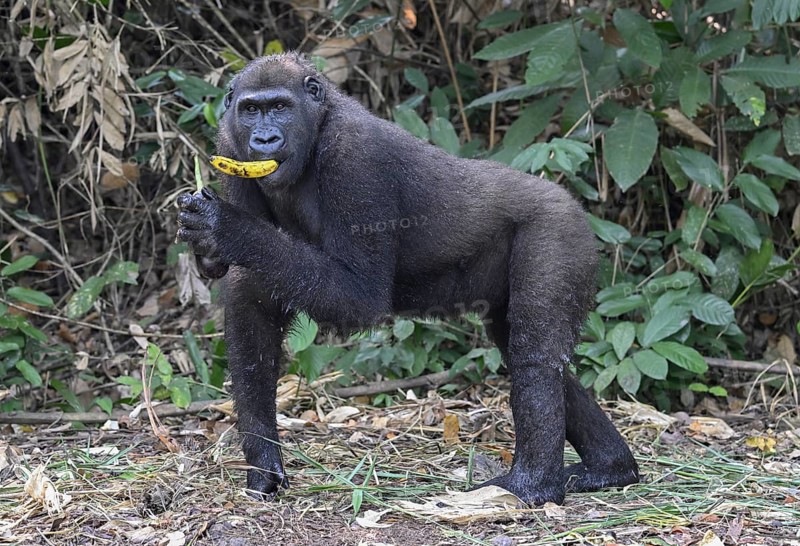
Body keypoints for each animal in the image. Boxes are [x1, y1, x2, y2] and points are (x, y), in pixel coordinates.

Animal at [177, 52, 639, 505]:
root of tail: (572, 203)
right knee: (524, 348)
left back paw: (533, 485)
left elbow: (358, 296)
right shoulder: (229, 143)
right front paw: (263, 465)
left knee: (534, 359)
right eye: (251, 111)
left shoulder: (356, 157)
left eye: (280, 108)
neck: (318, 122)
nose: (265, 141)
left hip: (560, 230)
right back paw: (610, 468)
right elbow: (251, 300)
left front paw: (226, 226)